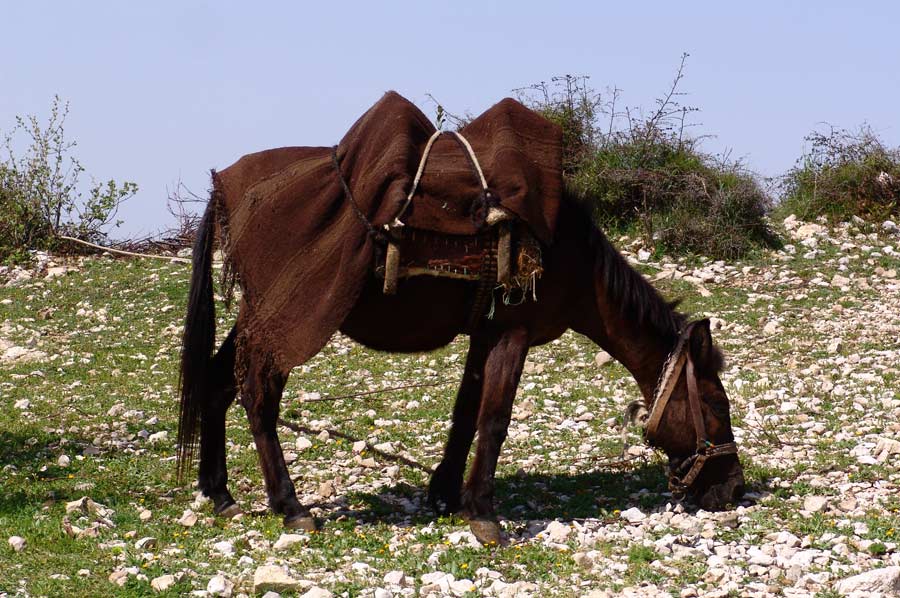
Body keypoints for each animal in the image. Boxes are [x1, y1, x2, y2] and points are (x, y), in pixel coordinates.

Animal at [177, 188, 746, 545]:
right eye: (717, 406)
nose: (734, 490)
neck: (571, 259)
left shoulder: (486, 335)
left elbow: (466, 412)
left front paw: (446, 493)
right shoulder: (513, 335)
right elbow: (494, 420)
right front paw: (484, 515)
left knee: (218, 384)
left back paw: (220, 493)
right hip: (282, 321)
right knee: (257, 396)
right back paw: (290, 506)